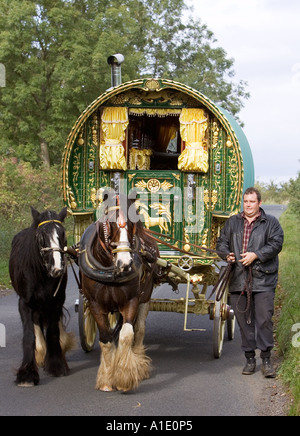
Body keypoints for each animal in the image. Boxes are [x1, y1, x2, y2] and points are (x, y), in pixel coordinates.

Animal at [9, 206, 75, 386]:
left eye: (62, 233)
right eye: (41, 236)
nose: (57, 268)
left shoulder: (56, 301)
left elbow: (53, 332)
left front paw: (56, 365)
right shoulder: (25, 303)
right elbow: (29, 336)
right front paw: (27, 374)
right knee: (36, 323)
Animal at [79, 192, 159, 392]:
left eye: (133, 223)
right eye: (110, 223)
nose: (126, 263)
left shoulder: (131, 300)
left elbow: (126, 335)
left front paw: (124, 376)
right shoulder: (95, 304)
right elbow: (106, 338)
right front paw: (107, 379)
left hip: (146, 296)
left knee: (139, 329)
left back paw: (139, 361)